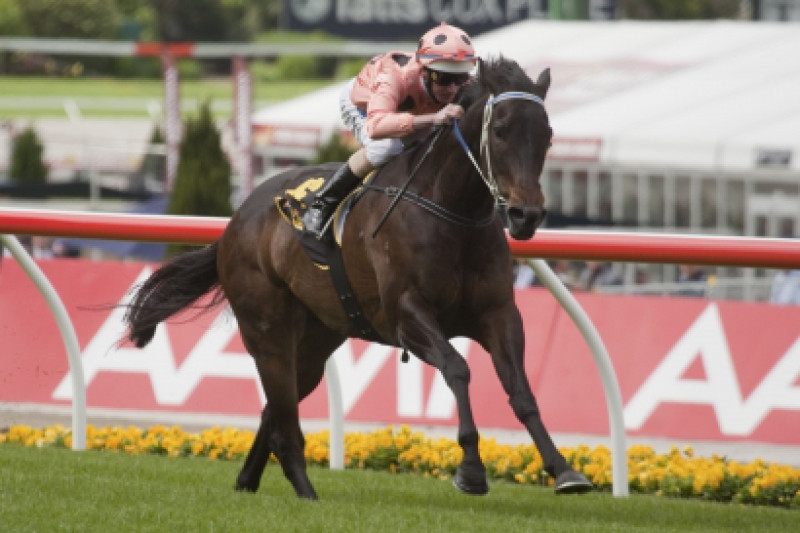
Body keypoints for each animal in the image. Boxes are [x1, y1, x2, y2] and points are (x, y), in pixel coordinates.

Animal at [124, 57, 593, 499]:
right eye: (500, 130)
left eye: (547, 134)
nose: (526, 215)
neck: (450, 210)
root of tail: (233, 224)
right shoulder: (407, 315)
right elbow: (457, 368)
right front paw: (472, 470)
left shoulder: (498, 313)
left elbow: (521, 390)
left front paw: (564, 471)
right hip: (266, 328)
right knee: (282, 416)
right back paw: (306, 492)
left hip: (316, 337)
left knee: (276, 409)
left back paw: (250, 482)